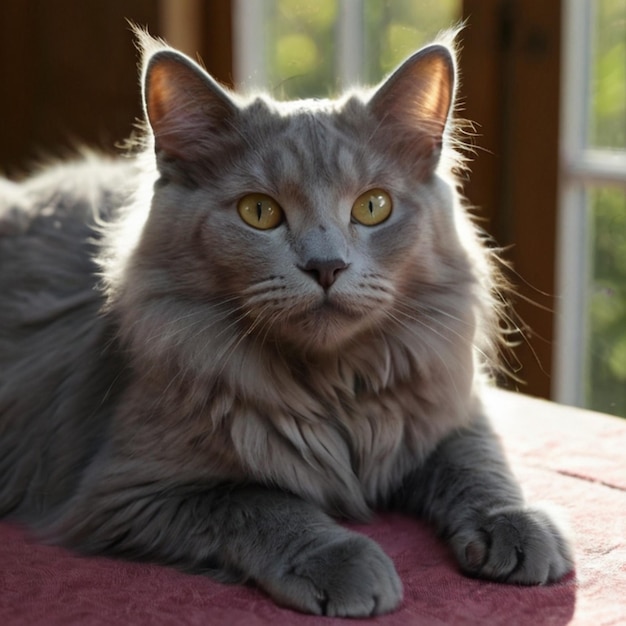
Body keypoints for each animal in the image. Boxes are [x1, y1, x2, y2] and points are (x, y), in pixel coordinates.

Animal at [0, 30, 572, 616]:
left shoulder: (446, 412)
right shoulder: (128, 492)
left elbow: (478, 466)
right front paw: (344, 562)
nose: (327, 266)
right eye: (259, 212)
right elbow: (262, 503)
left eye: (373, 207)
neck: (333, 387)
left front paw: (517, 528)